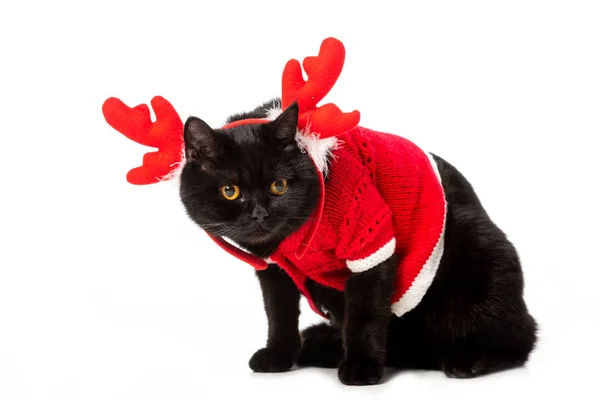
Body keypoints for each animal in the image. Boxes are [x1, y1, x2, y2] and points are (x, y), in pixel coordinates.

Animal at [179, 99, 540, 384]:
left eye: (279, 186)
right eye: (230, 191)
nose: (259, 214)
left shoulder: (371, 247)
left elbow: (365, 313)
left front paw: (362, 368)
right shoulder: (275, 270)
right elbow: (279, 315)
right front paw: (278, 356)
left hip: (479, 256)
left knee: (520, 338)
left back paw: (467, 359)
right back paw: (321, 345)